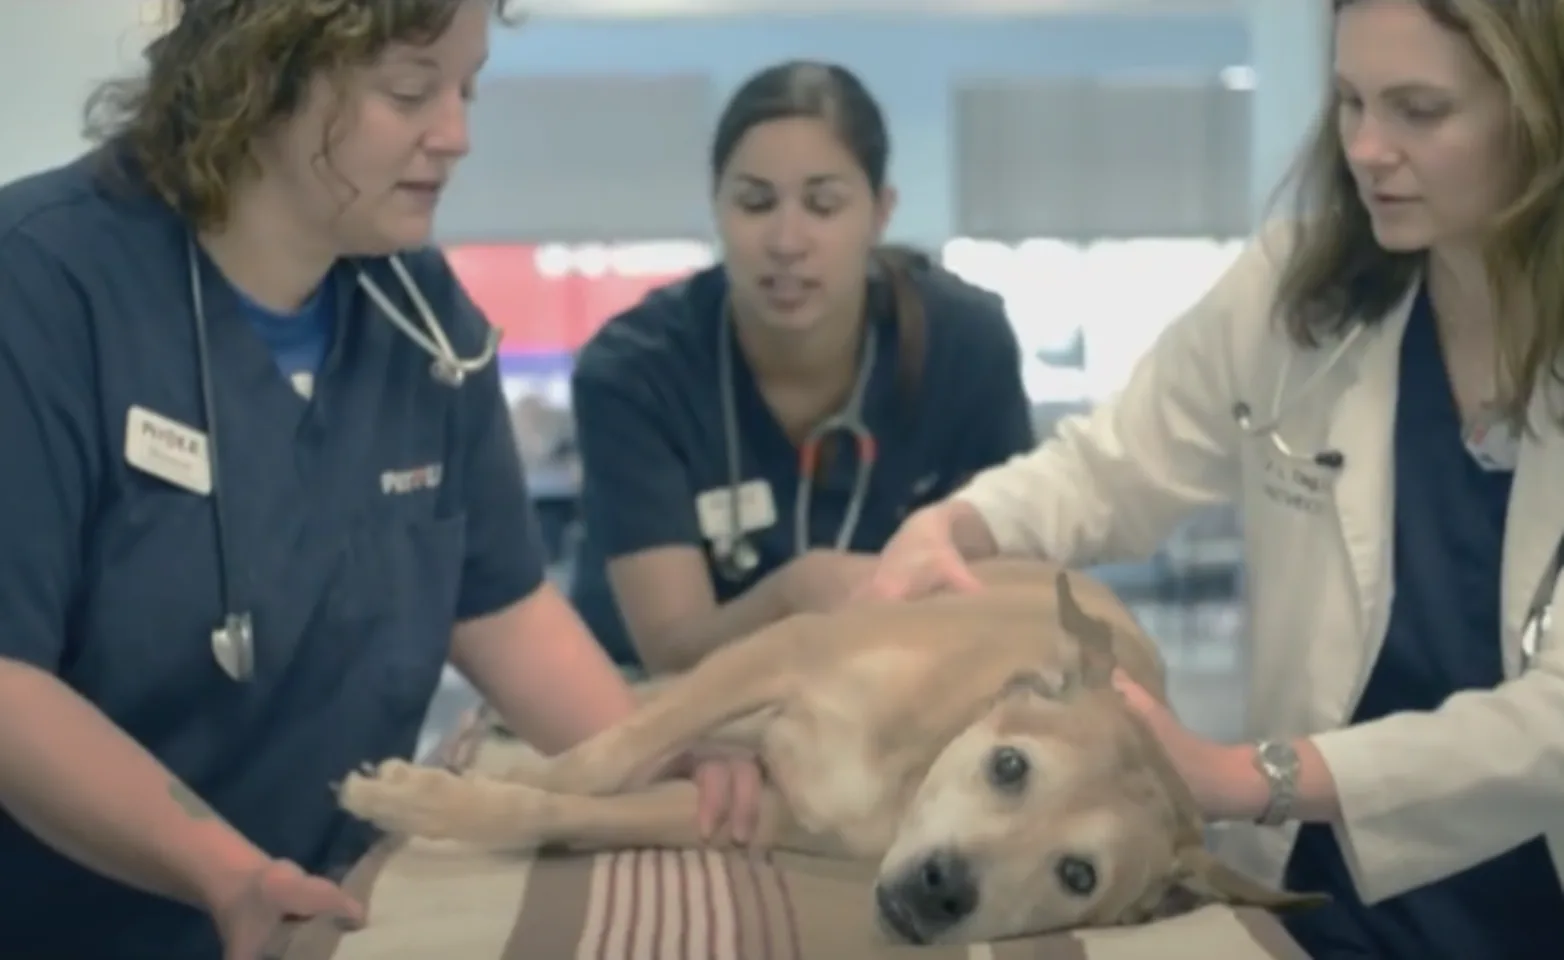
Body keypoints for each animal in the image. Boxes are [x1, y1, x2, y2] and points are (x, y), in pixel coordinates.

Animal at [339, 559, 1320, 944]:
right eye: (1009, 767)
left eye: (1078, 876)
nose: (944, 888)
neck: (902, 776)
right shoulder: (782, 654)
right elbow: (599, 759)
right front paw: (439, 791)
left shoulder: (743, 808)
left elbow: (587, 801)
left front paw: (465, 800)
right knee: (646, 705)